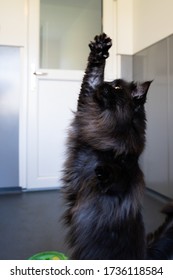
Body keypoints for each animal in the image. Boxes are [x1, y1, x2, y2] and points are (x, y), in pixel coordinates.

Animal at [61, 34, 173, 260]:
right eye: (109, 83)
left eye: (117, 88)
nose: (105, 84)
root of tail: (146, 253)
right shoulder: (87, 101)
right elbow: (91, 76)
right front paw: (100, 47)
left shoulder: (127, 174)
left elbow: (118, 172)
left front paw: (104, 169)